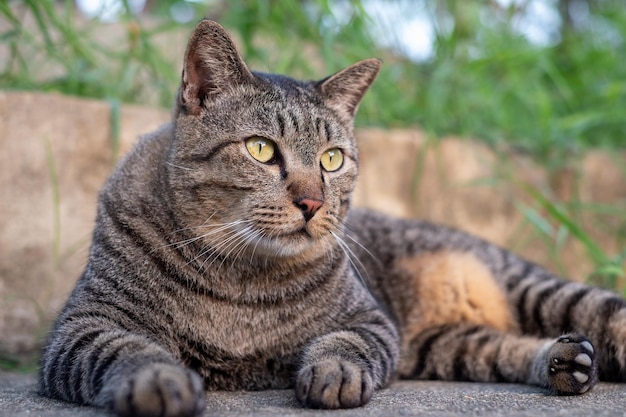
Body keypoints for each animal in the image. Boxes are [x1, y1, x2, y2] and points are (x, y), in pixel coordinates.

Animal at [37, 19, 624, 416]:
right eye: (260, 149)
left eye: (333, 159)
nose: (313, 202)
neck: (239, 279)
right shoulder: (82, 326)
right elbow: (127, 348)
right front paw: (159, 380)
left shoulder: (370, 321)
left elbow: (344, 343)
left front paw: (332, 371)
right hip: (446, 345)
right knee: (504, 347)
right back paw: (564, 360)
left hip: (535, 289)